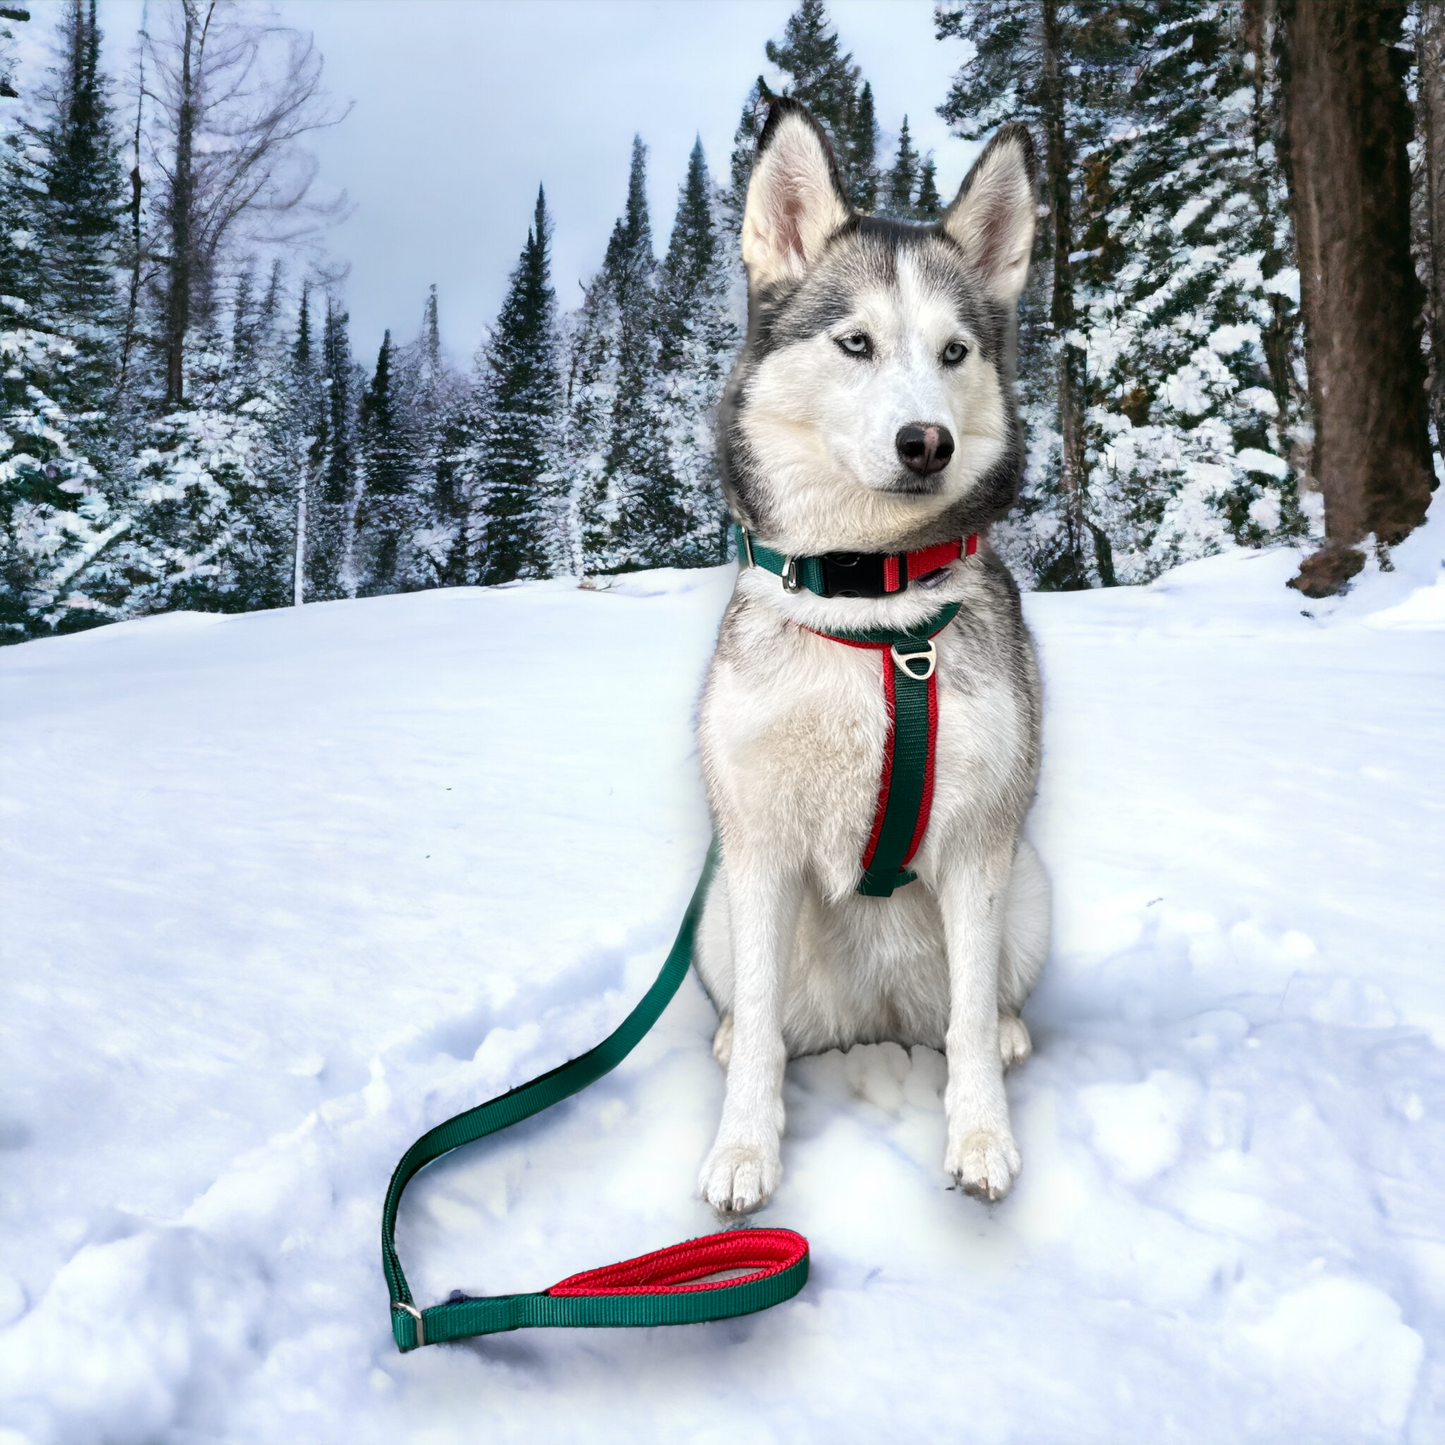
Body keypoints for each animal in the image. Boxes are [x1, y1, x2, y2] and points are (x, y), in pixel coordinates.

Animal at [690, 96, 1051, 1213]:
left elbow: (967, 1020)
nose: (926, 441)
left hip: (1030, 882)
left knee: (979, 1003)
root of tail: (873, 1024)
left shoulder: (978, 843)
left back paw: (1010, 1031)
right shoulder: (756, 845)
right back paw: (731, 1034)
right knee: (759, 1009)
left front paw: (979, 1135)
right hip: (714, 913)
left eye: (953, 352)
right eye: (855, 342)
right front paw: (743, 1148)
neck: (870, 601)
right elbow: (766, 1025)